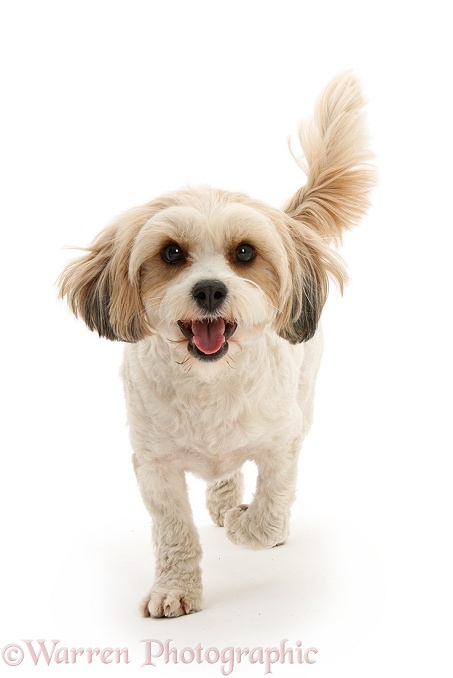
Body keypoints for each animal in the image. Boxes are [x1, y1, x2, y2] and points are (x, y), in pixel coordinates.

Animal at [58, 71, 374, 620]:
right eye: (171, 253)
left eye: (244, 252)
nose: (209, 289)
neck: (209, 383)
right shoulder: (154, 466)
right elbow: (174, 532)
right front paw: (174, 587)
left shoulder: (283, 443)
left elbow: (269, 511)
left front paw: (248, 526)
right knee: (220, 476)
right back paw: (222, 499)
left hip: (306, 395)